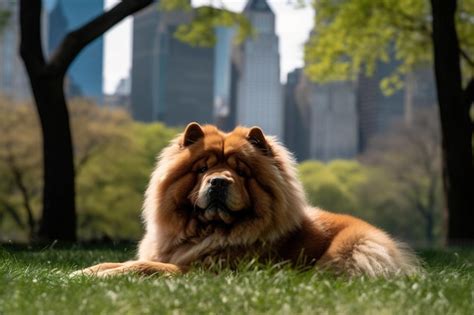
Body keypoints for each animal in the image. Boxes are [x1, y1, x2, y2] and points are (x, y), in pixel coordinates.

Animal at [74, 123, 418, 276]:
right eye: (203, 169)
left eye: (241, 172)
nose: (218, 181)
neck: (203, 232)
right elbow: (119, 261)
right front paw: (83, 272)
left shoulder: (204, 272)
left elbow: (145, 266)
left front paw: (106, 276)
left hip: (352, 249)